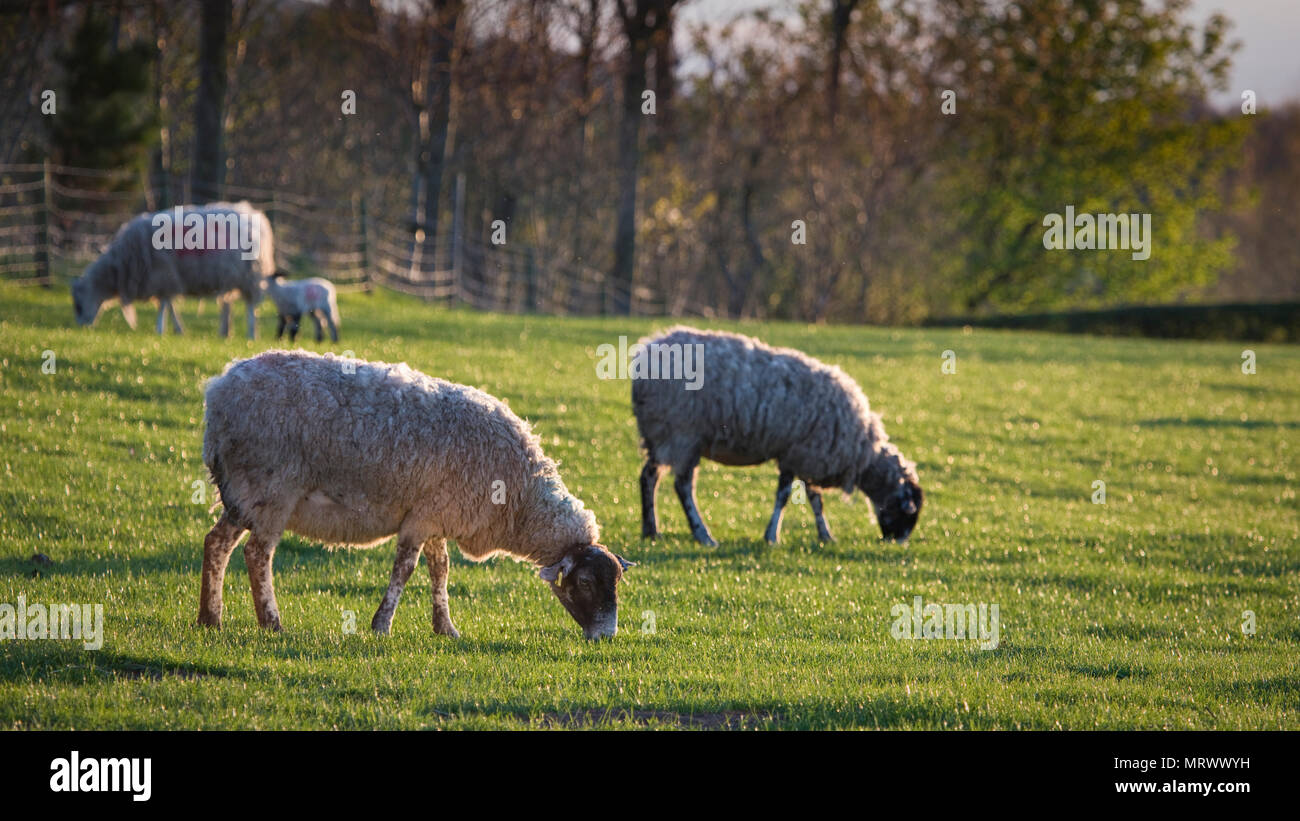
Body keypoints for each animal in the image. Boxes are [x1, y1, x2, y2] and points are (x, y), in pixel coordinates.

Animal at [71, 201, 274, 339]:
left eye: (78, 305)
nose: (82, 327)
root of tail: (255, 215)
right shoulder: (167, 279)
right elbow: (170, 304)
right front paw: (177, 329)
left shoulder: (162, 276)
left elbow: (164, 305)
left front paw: (161, 329)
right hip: (230, 275)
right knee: (227, 303)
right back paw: (225, 332)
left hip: (251, 276)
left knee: (250, 307)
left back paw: (251, 334)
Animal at [199, 350, 633, 640]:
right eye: (585, 583)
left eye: (614, 582)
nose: (606, 637)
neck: (519, 494)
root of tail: (219, 391)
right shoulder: (421, 518)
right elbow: (404, 570)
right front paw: (381, 626)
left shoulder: (438, 515)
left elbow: (440, 570)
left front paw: (446, 628)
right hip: (272, 490)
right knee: (257, 554)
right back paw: (272, 623)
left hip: (242, 494)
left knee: (217, 543)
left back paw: (210, 618)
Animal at [632, 326, 923, 545]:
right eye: (907, 512)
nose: (899, 543)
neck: (862, 452)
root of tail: (644, 356)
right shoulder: (796, 453)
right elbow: (783, 497)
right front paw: (772, 536)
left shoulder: (808, 456)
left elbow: (815, 500)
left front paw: (825, 535)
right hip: (682, 434)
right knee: (682, 487)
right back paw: (703, 535)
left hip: (660, 435)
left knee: (649, 477)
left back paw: (651, 530)